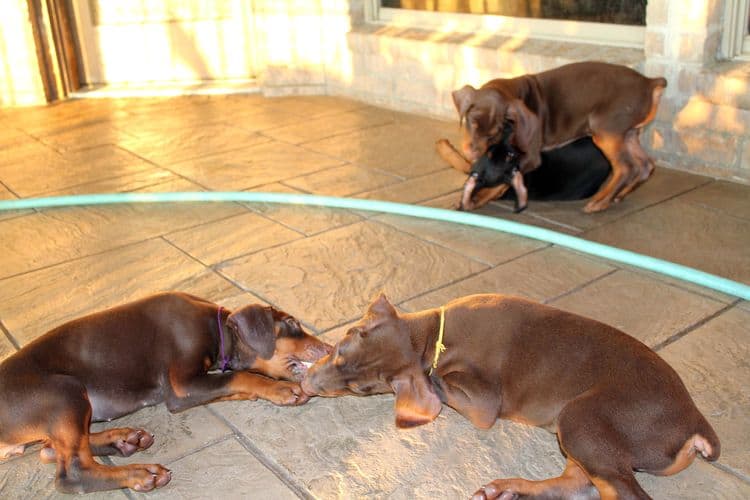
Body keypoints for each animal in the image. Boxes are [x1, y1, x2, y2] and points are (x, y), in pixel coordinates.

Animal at [0, 292, 332, 494]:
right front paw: (280, 389)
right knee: (72, 473)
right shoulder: (181, 387)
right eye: (292, 323)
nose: (331, 348)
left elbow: (231, 382)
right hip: (65, 392)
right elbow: (240, 376)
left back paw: (124, 439)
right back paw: (140, 473)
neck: (217, 330)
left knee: (49, 450)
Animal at [304, 292, 724, 500]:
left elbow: (438, 384)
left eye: (359, 390)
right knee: (582, 483)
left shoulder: (483, 404)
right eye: (339, 351)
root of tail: (695, 423)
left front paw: (429, 381)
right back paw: (508, 491)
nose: (307, 386)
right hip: (586, 435)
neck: (435, 336)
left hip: (582, 417)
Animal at [438, 61, 668, 213]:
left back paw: (600, 202)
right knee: (646, 164)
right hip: (627, 133)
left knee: (626, 167)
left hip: (606, 130)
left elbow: (501, 179)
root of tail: (649, 83)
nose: (473, 151)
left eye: (494, 134)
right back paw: (618, 195)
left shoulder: (529, 158)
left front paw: (473, 199)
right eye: (471, 122)